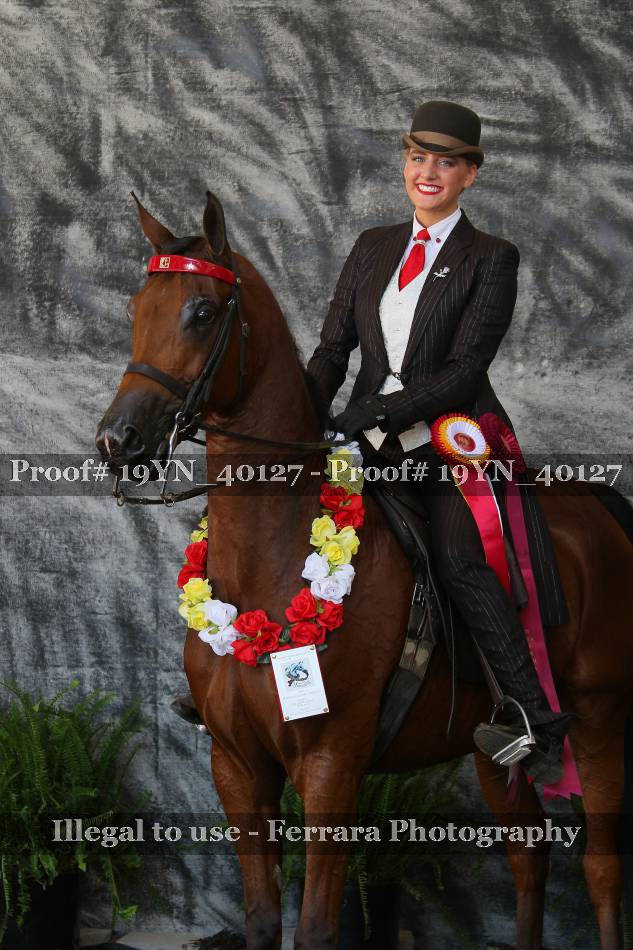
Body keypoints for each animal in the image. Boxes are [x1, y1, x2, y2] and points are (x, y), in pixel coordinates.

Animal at [96, 191, 633, 950]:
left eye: (201, 311)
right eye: (136, 307)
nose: (118, 440)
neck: (269, 559)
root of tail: (596, 508)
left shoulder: (331, 765)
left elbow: (318, 928)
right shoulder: (237, 769)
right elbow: (261, 920)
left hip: (600, 717)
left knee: (602, 870)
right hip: (492, 749)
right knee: (528, 857)